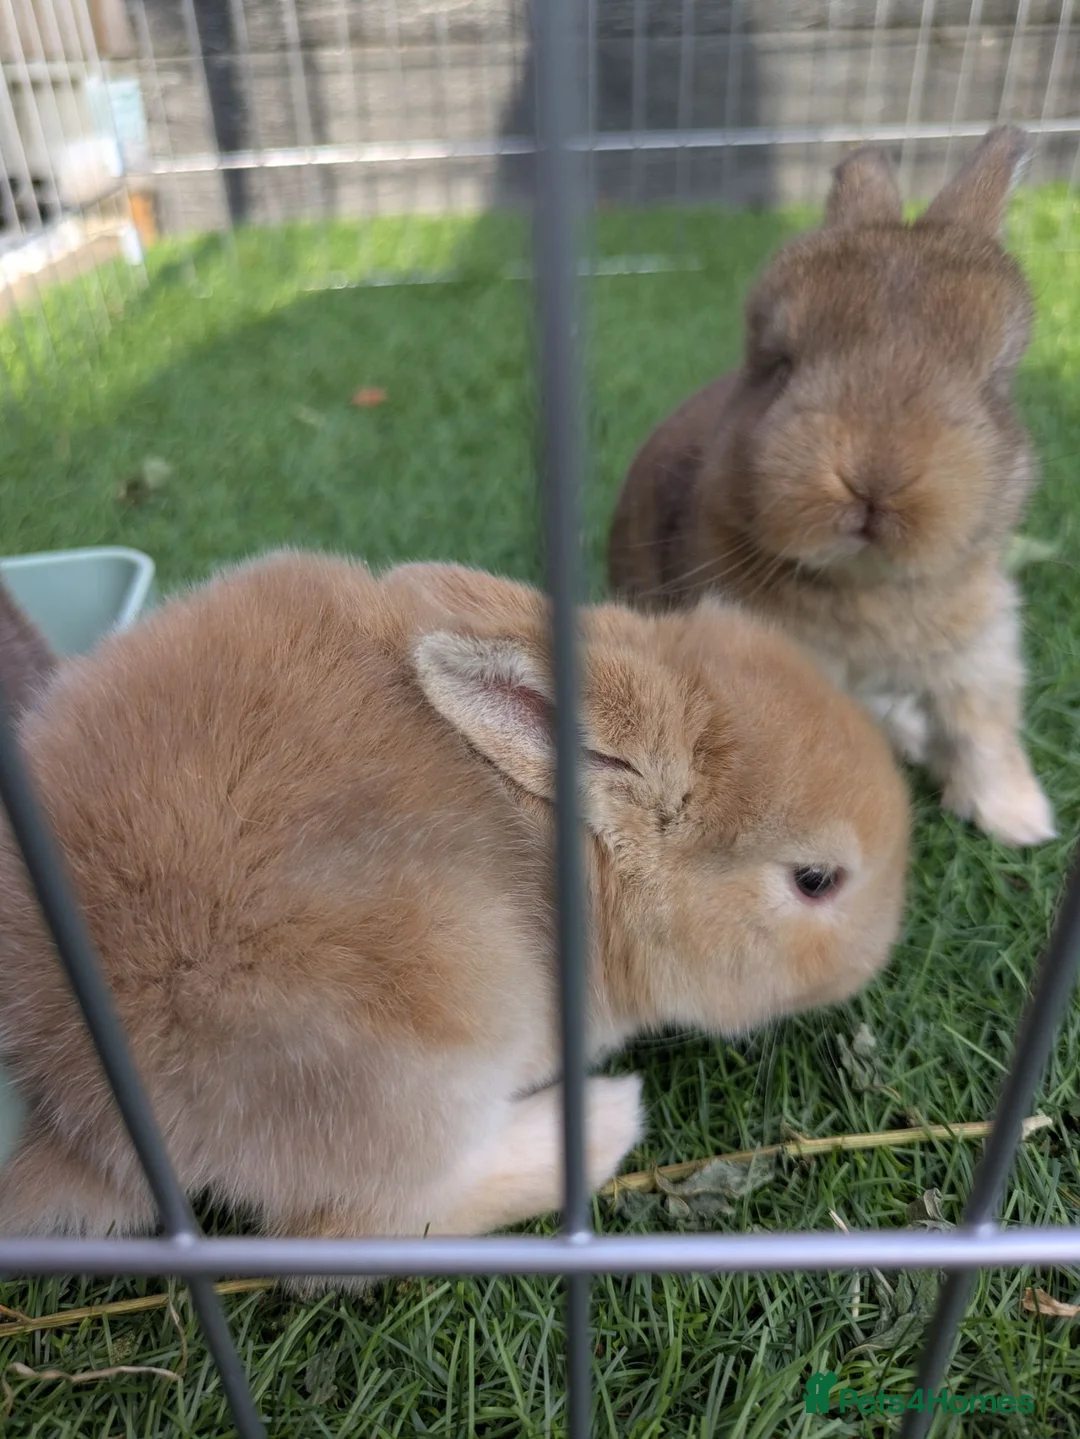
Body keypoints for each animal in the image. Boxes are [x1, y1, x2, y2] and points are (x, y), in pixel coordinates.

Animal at [0, 550, 910, 1291]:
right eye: (817, 880)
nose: (880, 953)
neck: (587, 860)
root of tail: (73, 1102)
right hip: (419, 1052)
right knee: (343, 1237)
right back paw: (606, 1118)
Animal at [608, 124, 1054, 849]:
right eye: (780, 363)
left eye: (994, 383)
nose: (875, 477)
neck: (865, 587)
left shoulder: (981, 653)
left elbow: (985, 734)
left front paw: (1020, 821)